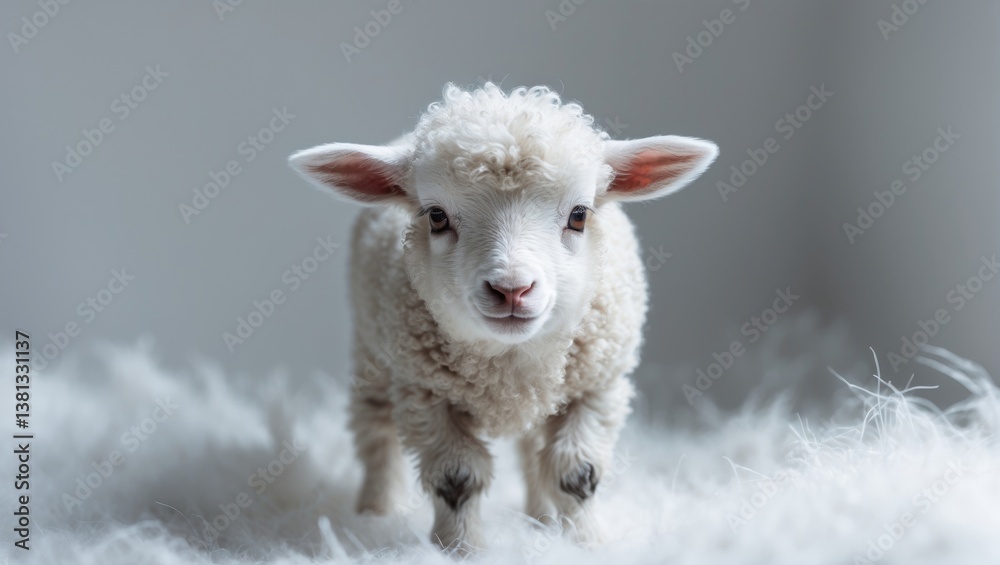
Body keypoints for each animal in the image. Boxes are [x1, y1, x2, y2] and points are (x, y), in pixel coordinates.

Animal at [288, 83, 717, 550]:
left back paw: (540, 519)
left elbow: (575, 473)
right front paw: (460, 548)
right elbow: (456, 478)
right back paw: (374, 513)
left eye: (579, 215)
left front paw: (583, 542)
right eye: (436, 216)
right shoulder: (425, 393)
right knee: (375, 429)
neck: (507, 363)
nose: (512, 290)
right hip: (372, 352)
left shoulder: (597, 387)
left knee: (532, 451)